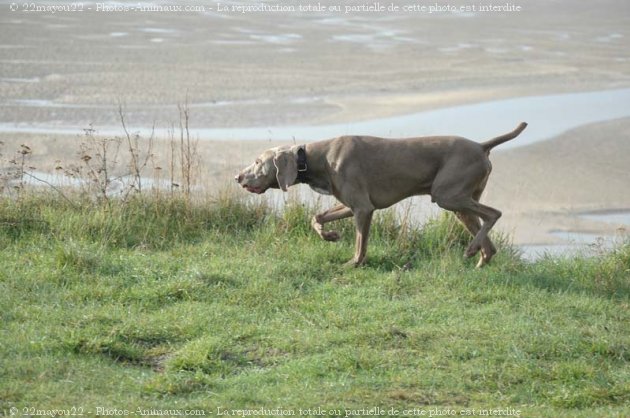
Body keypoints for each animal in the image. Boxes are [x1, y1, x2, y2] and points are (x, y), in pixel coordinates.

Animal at [237, 121, 528, 266]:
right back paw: (478, 258)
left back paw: (471, 249)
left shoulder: (363, 208)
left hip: (448, 196)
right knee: (489, 245)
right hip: (460, 204)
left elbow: (360, 244)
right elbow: (316, 218)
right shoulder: (351, 205)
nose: (237, 177)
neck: (315, 157)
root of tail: (481, 145)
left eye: (257, 161)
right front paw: (330, 236)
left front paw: (352, 264)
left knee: (494, 213)